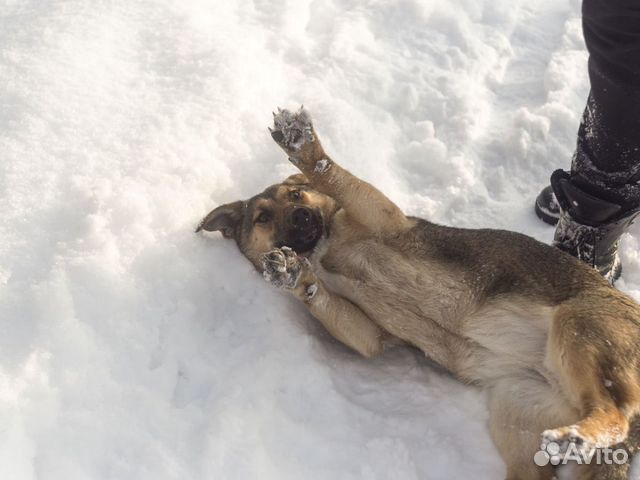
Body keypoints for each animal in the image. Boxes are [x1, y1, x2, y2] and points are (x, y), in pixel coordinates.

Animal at [196, 107, 640, 478]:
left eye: (296, 195)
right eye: (263, 217)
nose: (303, 216)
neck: (323, 248)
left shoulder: (385, 218)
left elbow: (336, 177)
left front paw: (305, 147)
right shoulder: (370, 335)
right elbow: (321, 297)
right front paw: (290, 273)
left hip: (579, 326)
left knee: (614, 413)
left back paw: (577, 437)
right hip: (519, 412)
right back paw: (572, 439)